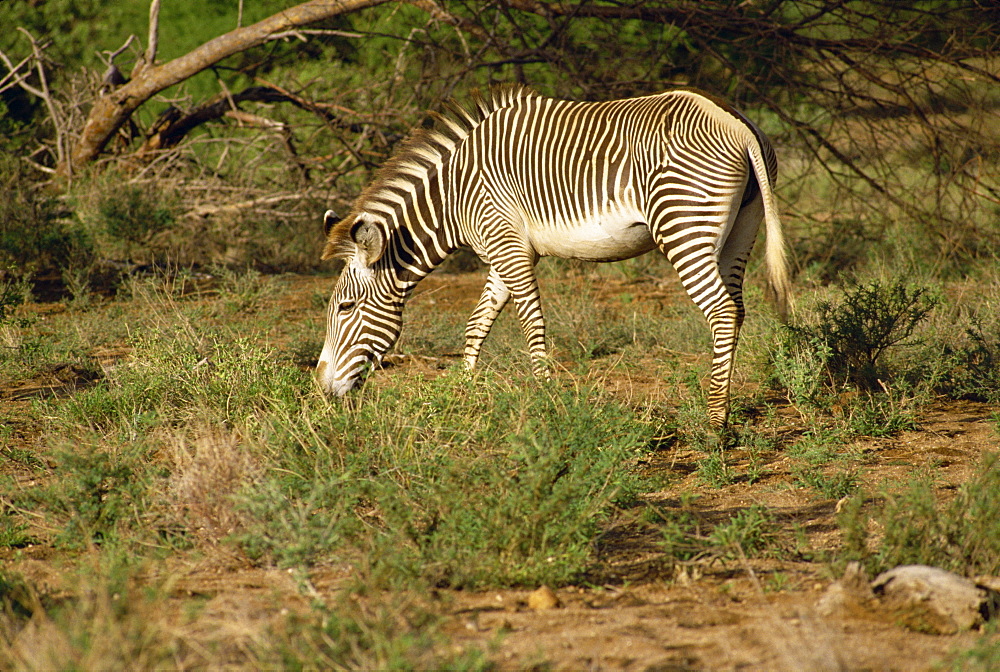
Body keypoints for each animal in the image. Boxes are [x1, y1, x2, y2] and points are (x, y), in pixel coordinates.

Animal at [318, 86, 788, 428]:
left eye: (345, 307)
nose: (321, 387)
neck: (453, 197)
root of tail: (736, 124)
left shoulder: (507, 244)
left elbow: (531, 324)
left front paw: (545, 401)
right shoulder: (502, 250)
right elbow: (477, 323)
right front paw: (462, 393)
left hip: (683, 224)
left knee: (722, 311)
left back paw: (714, 422)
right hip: (741, 230)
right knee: (737, 308)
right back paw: (724, 403)